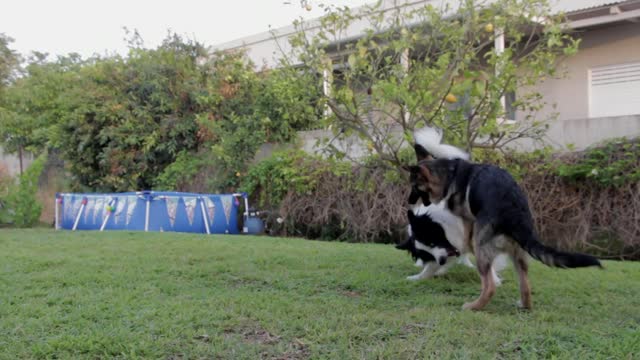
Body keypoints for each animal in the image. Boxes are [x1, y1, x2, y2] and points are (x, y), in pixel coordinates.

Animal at [410, 155, 600, 310]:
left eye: (415, 186)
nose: (409, 201)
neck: (451, 173)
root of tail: (515, 216)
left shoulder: (467, 218)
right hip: (519, 255)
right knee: (526, 286)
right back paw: (524, 305)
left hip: (483, 253)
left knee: (489, 287)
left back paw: (474, 306)